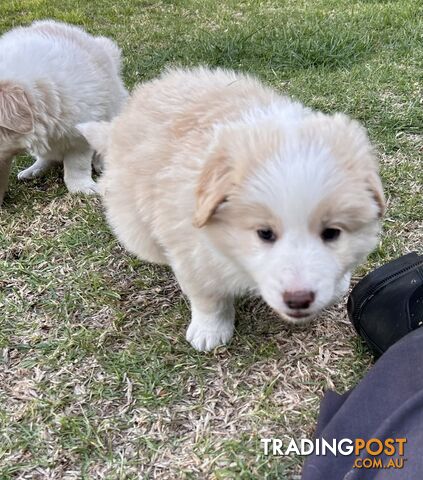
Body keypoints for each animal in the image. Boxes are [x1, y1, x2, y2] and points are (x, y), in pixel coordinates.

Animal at [78, 66, 386, 352]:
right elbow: (208, 298)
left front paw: (339, 284)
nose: (298, 299)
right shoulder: (192, 254)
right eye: (264, 233)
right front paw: (209, 332)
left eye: (332, 233)